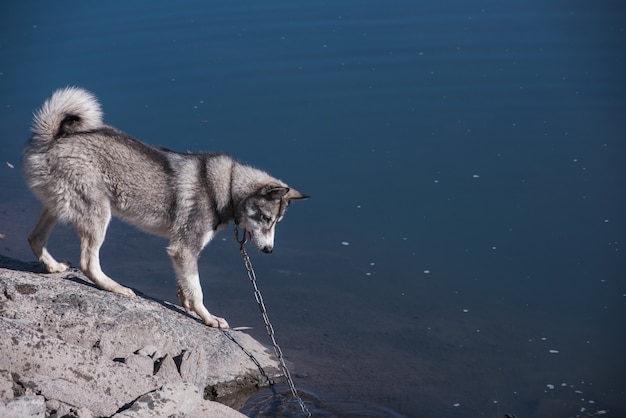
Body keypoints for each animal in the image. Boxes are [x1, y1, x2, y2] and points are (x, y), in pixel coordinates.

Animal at [23, 88, 308, 328]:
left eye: (276, 222)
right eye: (266, 218)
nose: (269, 250)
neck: (226, 186)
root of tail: (52, 138)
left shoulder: (183, 252)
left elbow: (186, 287)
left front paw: (189, 307)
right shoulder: (184, 249)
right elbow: (198, 290)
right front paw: (208, 318)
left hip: (58, 207)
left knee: (35, 237)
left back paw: (54, 267)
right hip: (98, 214)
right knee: (88, 263)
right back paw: (115, 287)